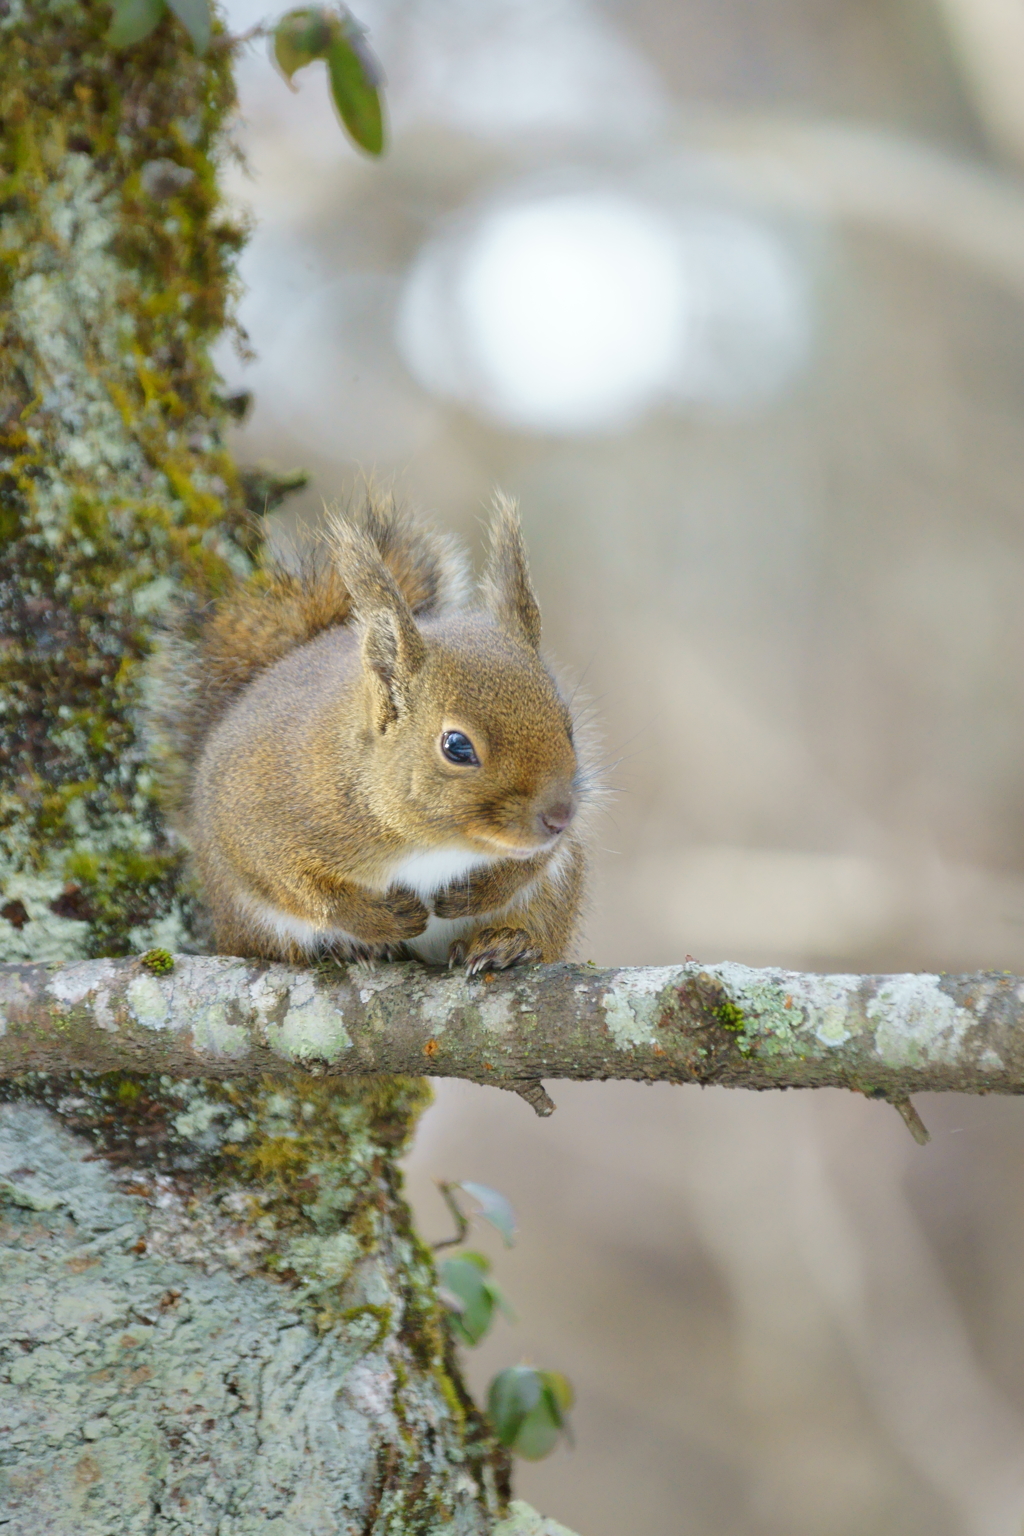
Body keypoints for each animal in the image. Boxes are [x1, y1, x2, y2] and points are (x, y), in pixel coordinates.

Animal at [144, 491, 592, 970]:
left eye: (567, 726)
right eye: (457, 746)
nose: (559, 818)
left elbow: (535, 861)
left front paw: (480, 892)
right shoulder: (256, 821)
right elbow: (301, 888)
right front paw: (379, 919)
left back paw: (506, 942)